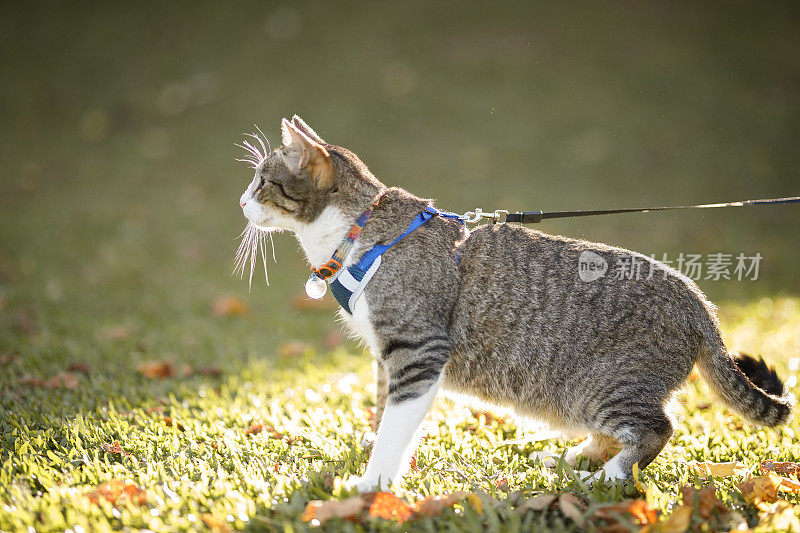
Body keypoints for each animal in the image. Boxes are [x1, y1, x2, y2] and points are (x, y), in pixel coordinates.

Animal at [234, 115, 792, 490]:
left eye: (261, 180)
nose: (240, 201)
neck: (357, 232)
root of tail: (699, 301)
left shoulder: (418, 350)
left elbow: (395, 423)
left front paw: (372, 484)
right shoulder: (388, 357)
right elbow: (384, 416)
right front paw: (377, 462)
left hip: (606, 385)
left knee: (658, 428)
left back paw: (608, 476)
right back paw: (579, 456)